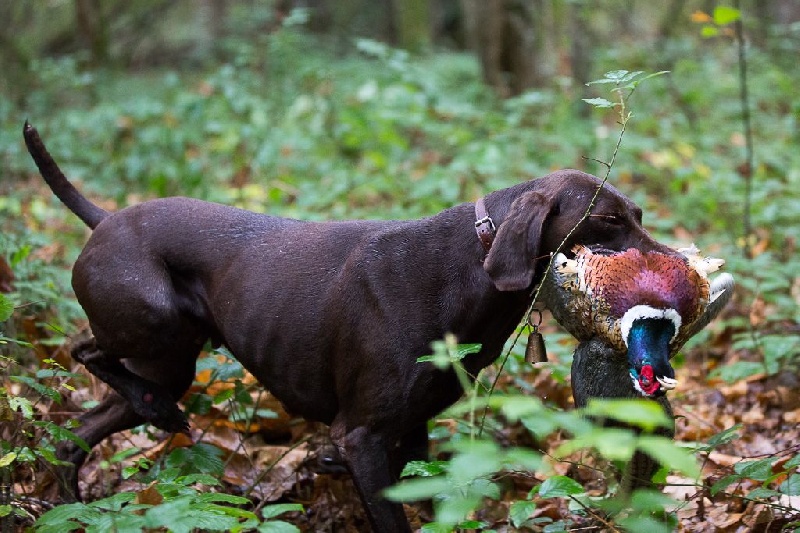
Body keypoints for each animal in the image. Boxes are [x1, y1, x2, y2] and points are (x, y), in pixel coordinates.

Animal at [25, 122, 672, 528]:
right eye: (610, 222)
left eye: (637, 214)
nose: (674, 265)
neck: (464, 265)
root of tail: (106, 220)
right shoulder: (362, 437)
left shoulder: (412, 436)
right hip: (155, 321)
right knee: (84, 351)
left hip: (169, 362)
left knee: (74, 435)